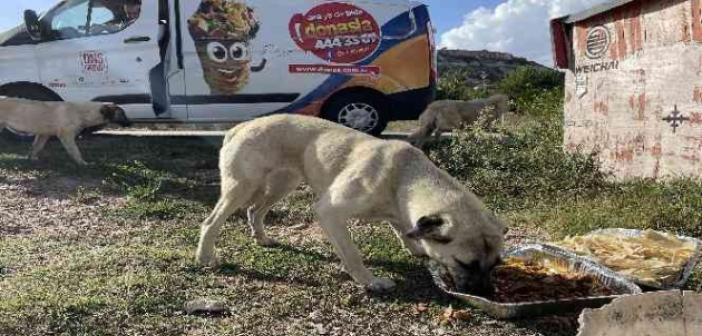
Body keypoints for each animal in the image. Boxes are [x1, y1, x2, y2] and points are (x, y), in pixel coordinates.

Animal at [0, 96, 131, 165]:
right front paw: (82, 163)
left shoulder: (43, 134)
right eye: (122, 114)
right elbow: (75, 151)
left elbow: (36, 147)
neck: (82, 112)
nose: (131, 123)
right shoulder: (66, 135)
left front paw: (32, 159)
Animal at [198, 114, 506, 292]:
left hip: (282, 185)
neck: (404, 176)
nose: (488, 293)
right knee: (210, 222)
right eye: (465, 264)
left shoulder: (398, 214)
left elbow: (404, 231)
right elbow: (352, 253)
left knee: (255, 210)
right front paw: (369, 281)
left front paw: (416, 247)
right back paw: (204, 257)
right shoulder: (329, 212)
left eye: (495, 265)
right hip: (242, 188)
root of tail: (240, 126)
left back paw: (262, 238)